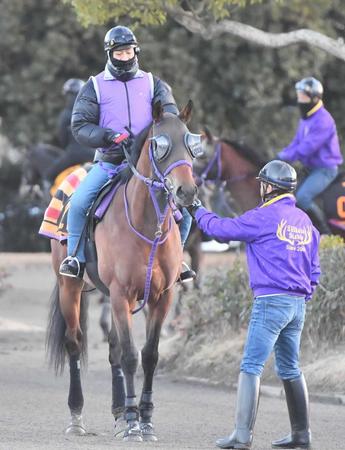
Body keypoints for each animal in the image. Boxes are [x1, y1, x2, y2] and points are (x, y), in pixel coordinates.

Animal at [45, 100, 198, 442]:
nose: (187, 192)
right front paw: (132, 425)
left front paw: (144, 420)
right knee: (75, 343)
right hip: (70, 288)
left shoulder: (161, 298)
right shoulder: (119, 294)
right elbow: (130, 356)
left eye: (192, 145)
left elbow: (149, 355)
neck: (147, 225)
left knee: (113, 348)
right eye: (160, 145)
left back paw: (117, 413)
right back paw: (77, 417)